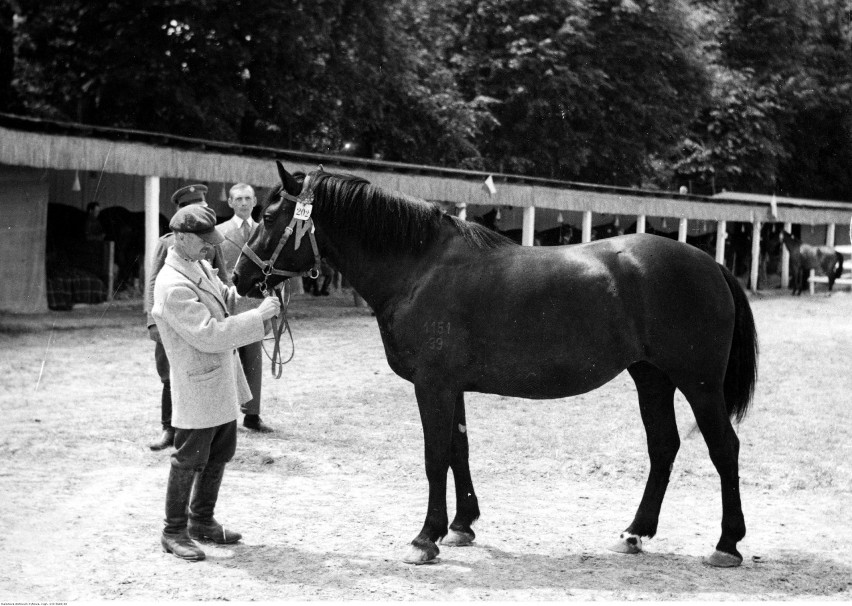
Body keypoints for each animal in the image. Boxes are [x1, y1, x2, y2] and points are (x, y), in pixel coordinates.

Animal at [233, 163, 760, 568]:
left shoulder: (432, 385)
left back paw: (726, 545)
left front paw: (424, 538)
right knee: (663, 446)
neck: (419, 268)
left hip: (699, 383)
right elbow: (458, 451)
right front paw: (461, 526)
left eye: (271, 215)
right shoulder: (451, 386)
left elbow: (434, 457)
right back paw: (635, 533)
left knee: (724, 449)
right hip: (651, 377)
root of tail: (710, 264)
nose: (240, 276)